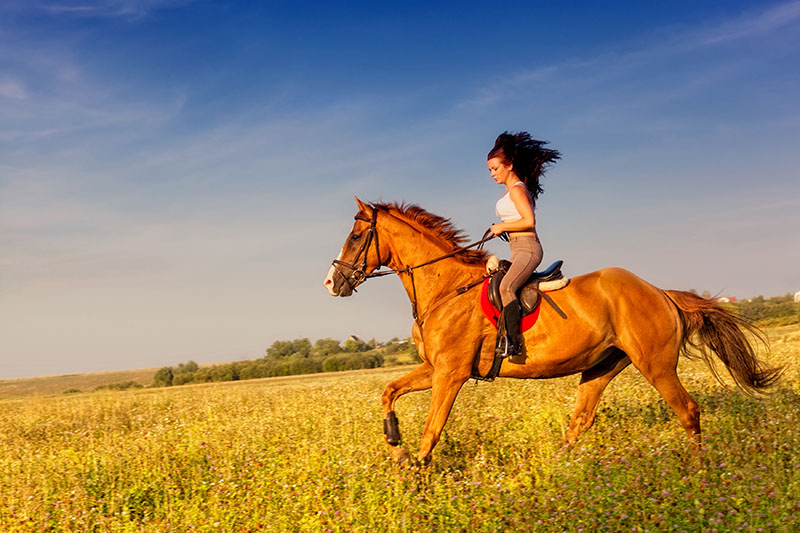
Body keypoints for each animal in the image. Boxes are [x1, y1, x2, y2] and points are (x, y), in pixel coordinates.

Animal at [322, 197, 780, 464]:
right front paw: (395, 442)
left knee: (688, 411)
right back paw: (559, 469)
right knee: (581, 420)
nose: (332, 283)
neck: (445, 287)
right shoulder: (436, 368)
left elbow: (432, 429)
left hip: (656, 364)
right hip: (601, 367)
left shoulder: (451, 373)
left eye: (357, 236)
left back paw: (700, 473)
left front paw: (416, 474)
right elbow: (389, 391)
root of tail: (659, 292)